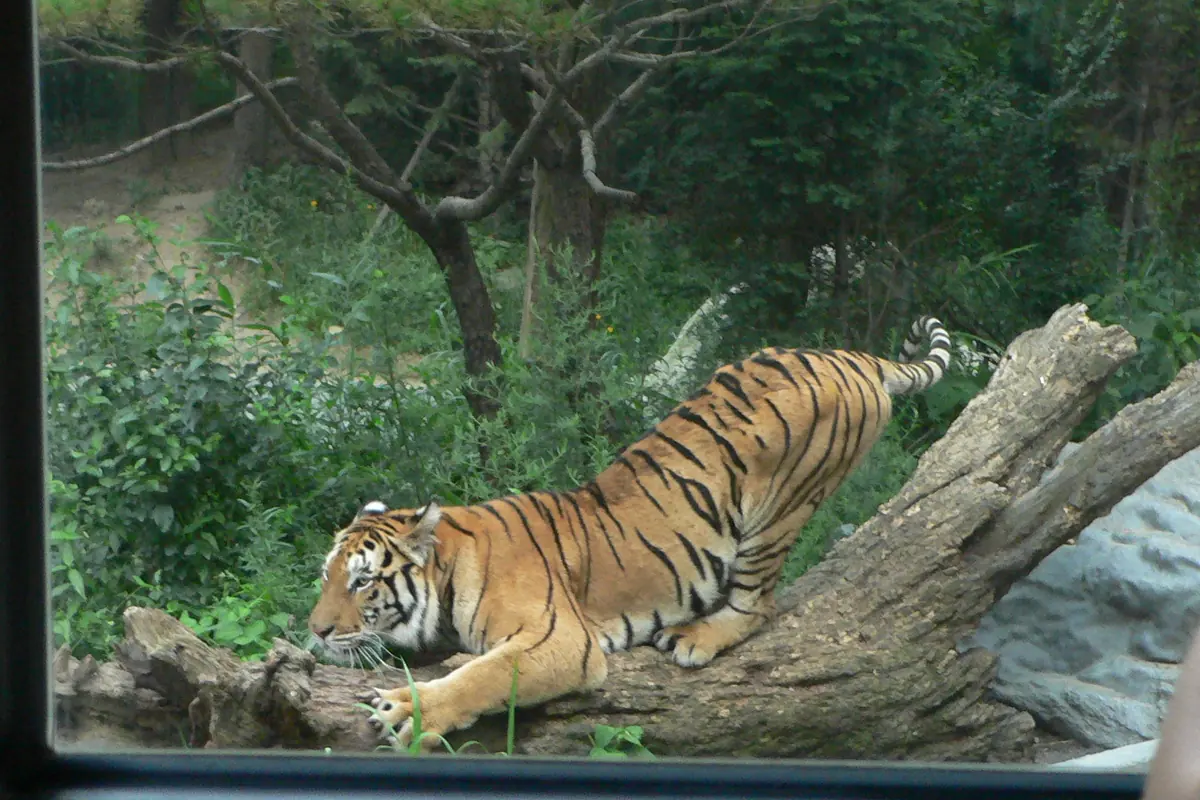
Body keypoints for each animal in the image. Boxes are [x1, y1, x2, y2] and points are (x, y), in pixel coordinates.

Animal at [307, 316, 951, 748]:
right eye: (327, 576)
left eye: (362, 582)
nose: (315, 631)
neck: (448, 572)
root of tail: (848, 356)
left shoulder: (558, 640)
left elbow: (483, 675)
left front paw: (406, 712)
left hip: (781, 506)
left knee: (757, 603)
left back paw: (695, 636)